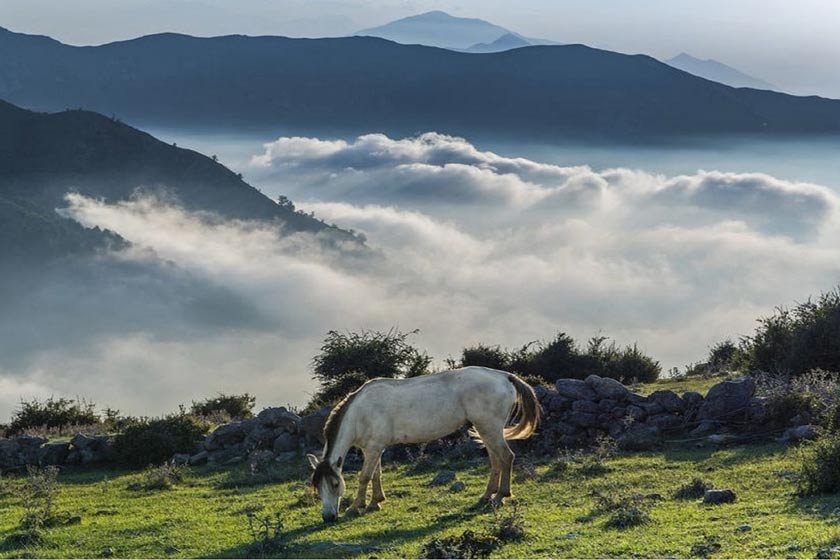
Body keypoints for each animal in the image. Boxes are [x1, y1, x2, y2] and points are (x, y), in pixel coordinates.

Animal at [306, 366, 540, 524]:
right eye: (317, 486)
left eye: (335, 484)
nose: (328, 517)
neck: (360, 413)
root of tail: (504, 376)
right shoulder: (374, 448)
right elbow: (376, 475)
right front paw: (376, 502)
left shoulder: (373, 448)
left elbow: (364, 477)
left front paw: (356, 507)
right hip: (487, 429)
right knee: (496, 460)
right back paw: (486, 496)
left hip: (489, 428)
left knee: (506, 457)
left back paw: (501, 496)